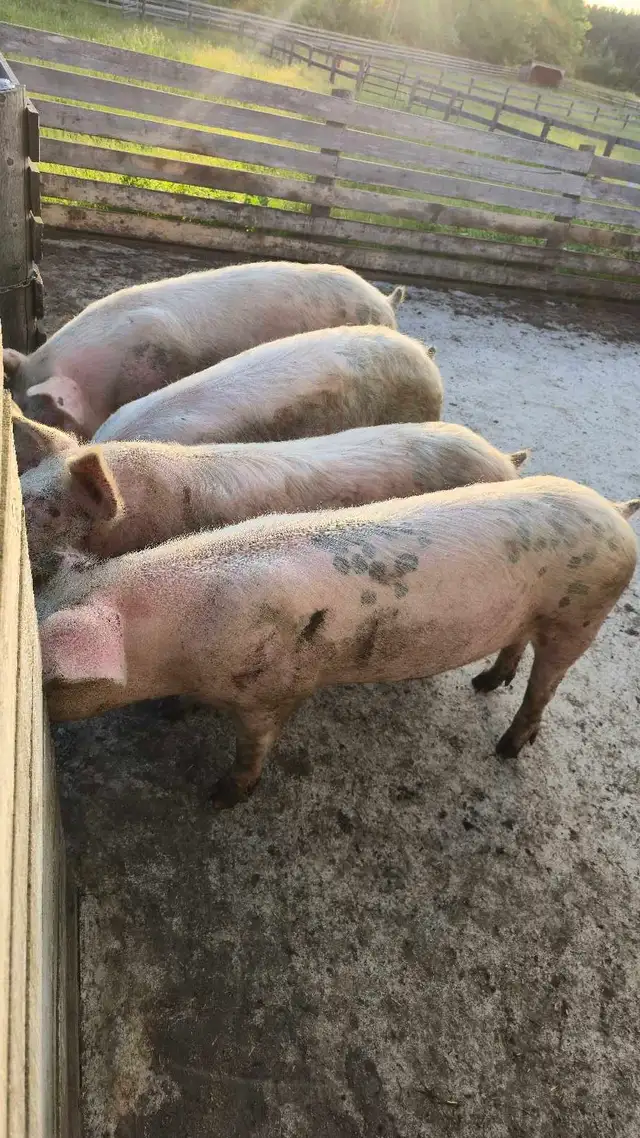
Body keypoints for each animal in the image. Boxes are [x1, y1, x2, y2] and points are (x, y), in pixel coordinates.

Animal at [38, 476, 638, 809]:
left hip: (583, 614)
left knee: (545, 686)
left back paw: (506, 747)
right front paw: (171, 714)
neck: (173, 644)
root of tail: (615, 510)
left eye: (51, 679)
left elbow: (254, 745)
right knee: (517, 649)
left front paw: (220, 798)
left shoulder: (274, 690)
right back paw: (483, 682)